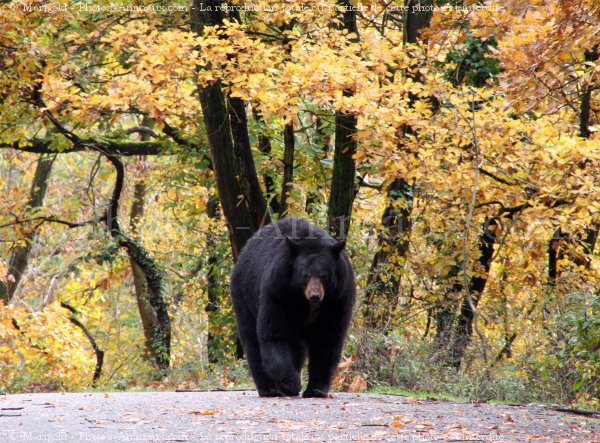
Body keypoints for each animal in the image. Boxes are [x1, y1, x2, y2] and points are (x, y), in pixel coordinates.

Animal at [229, 219, 352, 398]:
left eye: (324, 275)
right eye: (306, 275)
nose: (315, 295)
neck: (307, 303)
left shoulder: (337, 299)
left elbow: (327, 338)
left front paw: (316, 390)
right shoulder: (278, 293)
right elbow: (275, 334)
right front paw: (291, 383)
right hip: (244, 295)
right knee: (252, 340)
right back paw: (268, 389)